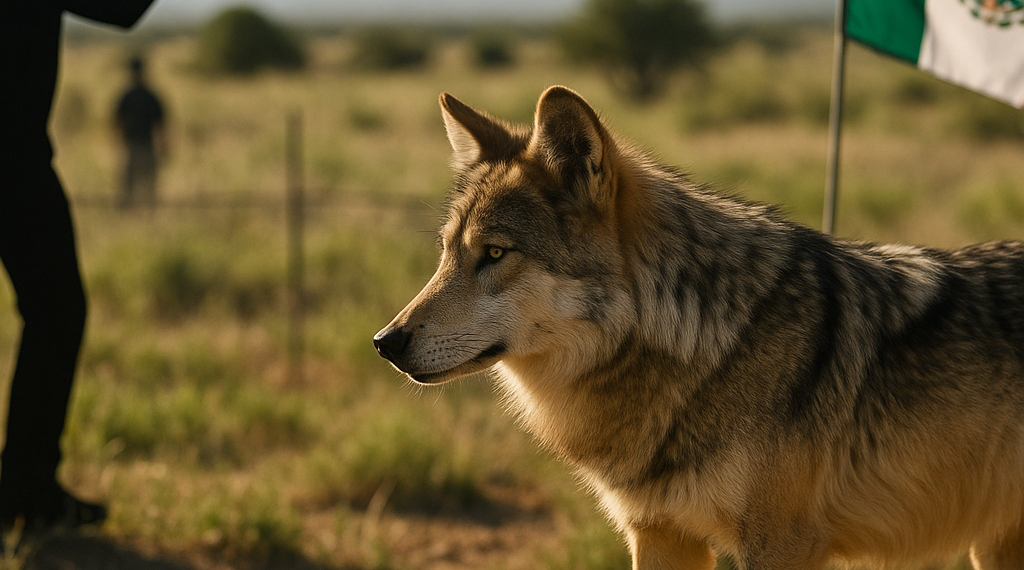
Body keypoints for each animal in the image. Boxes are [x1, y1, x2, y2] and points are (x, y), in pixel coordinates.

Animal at [373, 85, 1024, 570]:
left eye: (495, 254)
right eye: (447, 253)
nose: (385, 342)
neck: (712, 349)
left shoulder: (782, 545)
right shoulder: (659, 532)